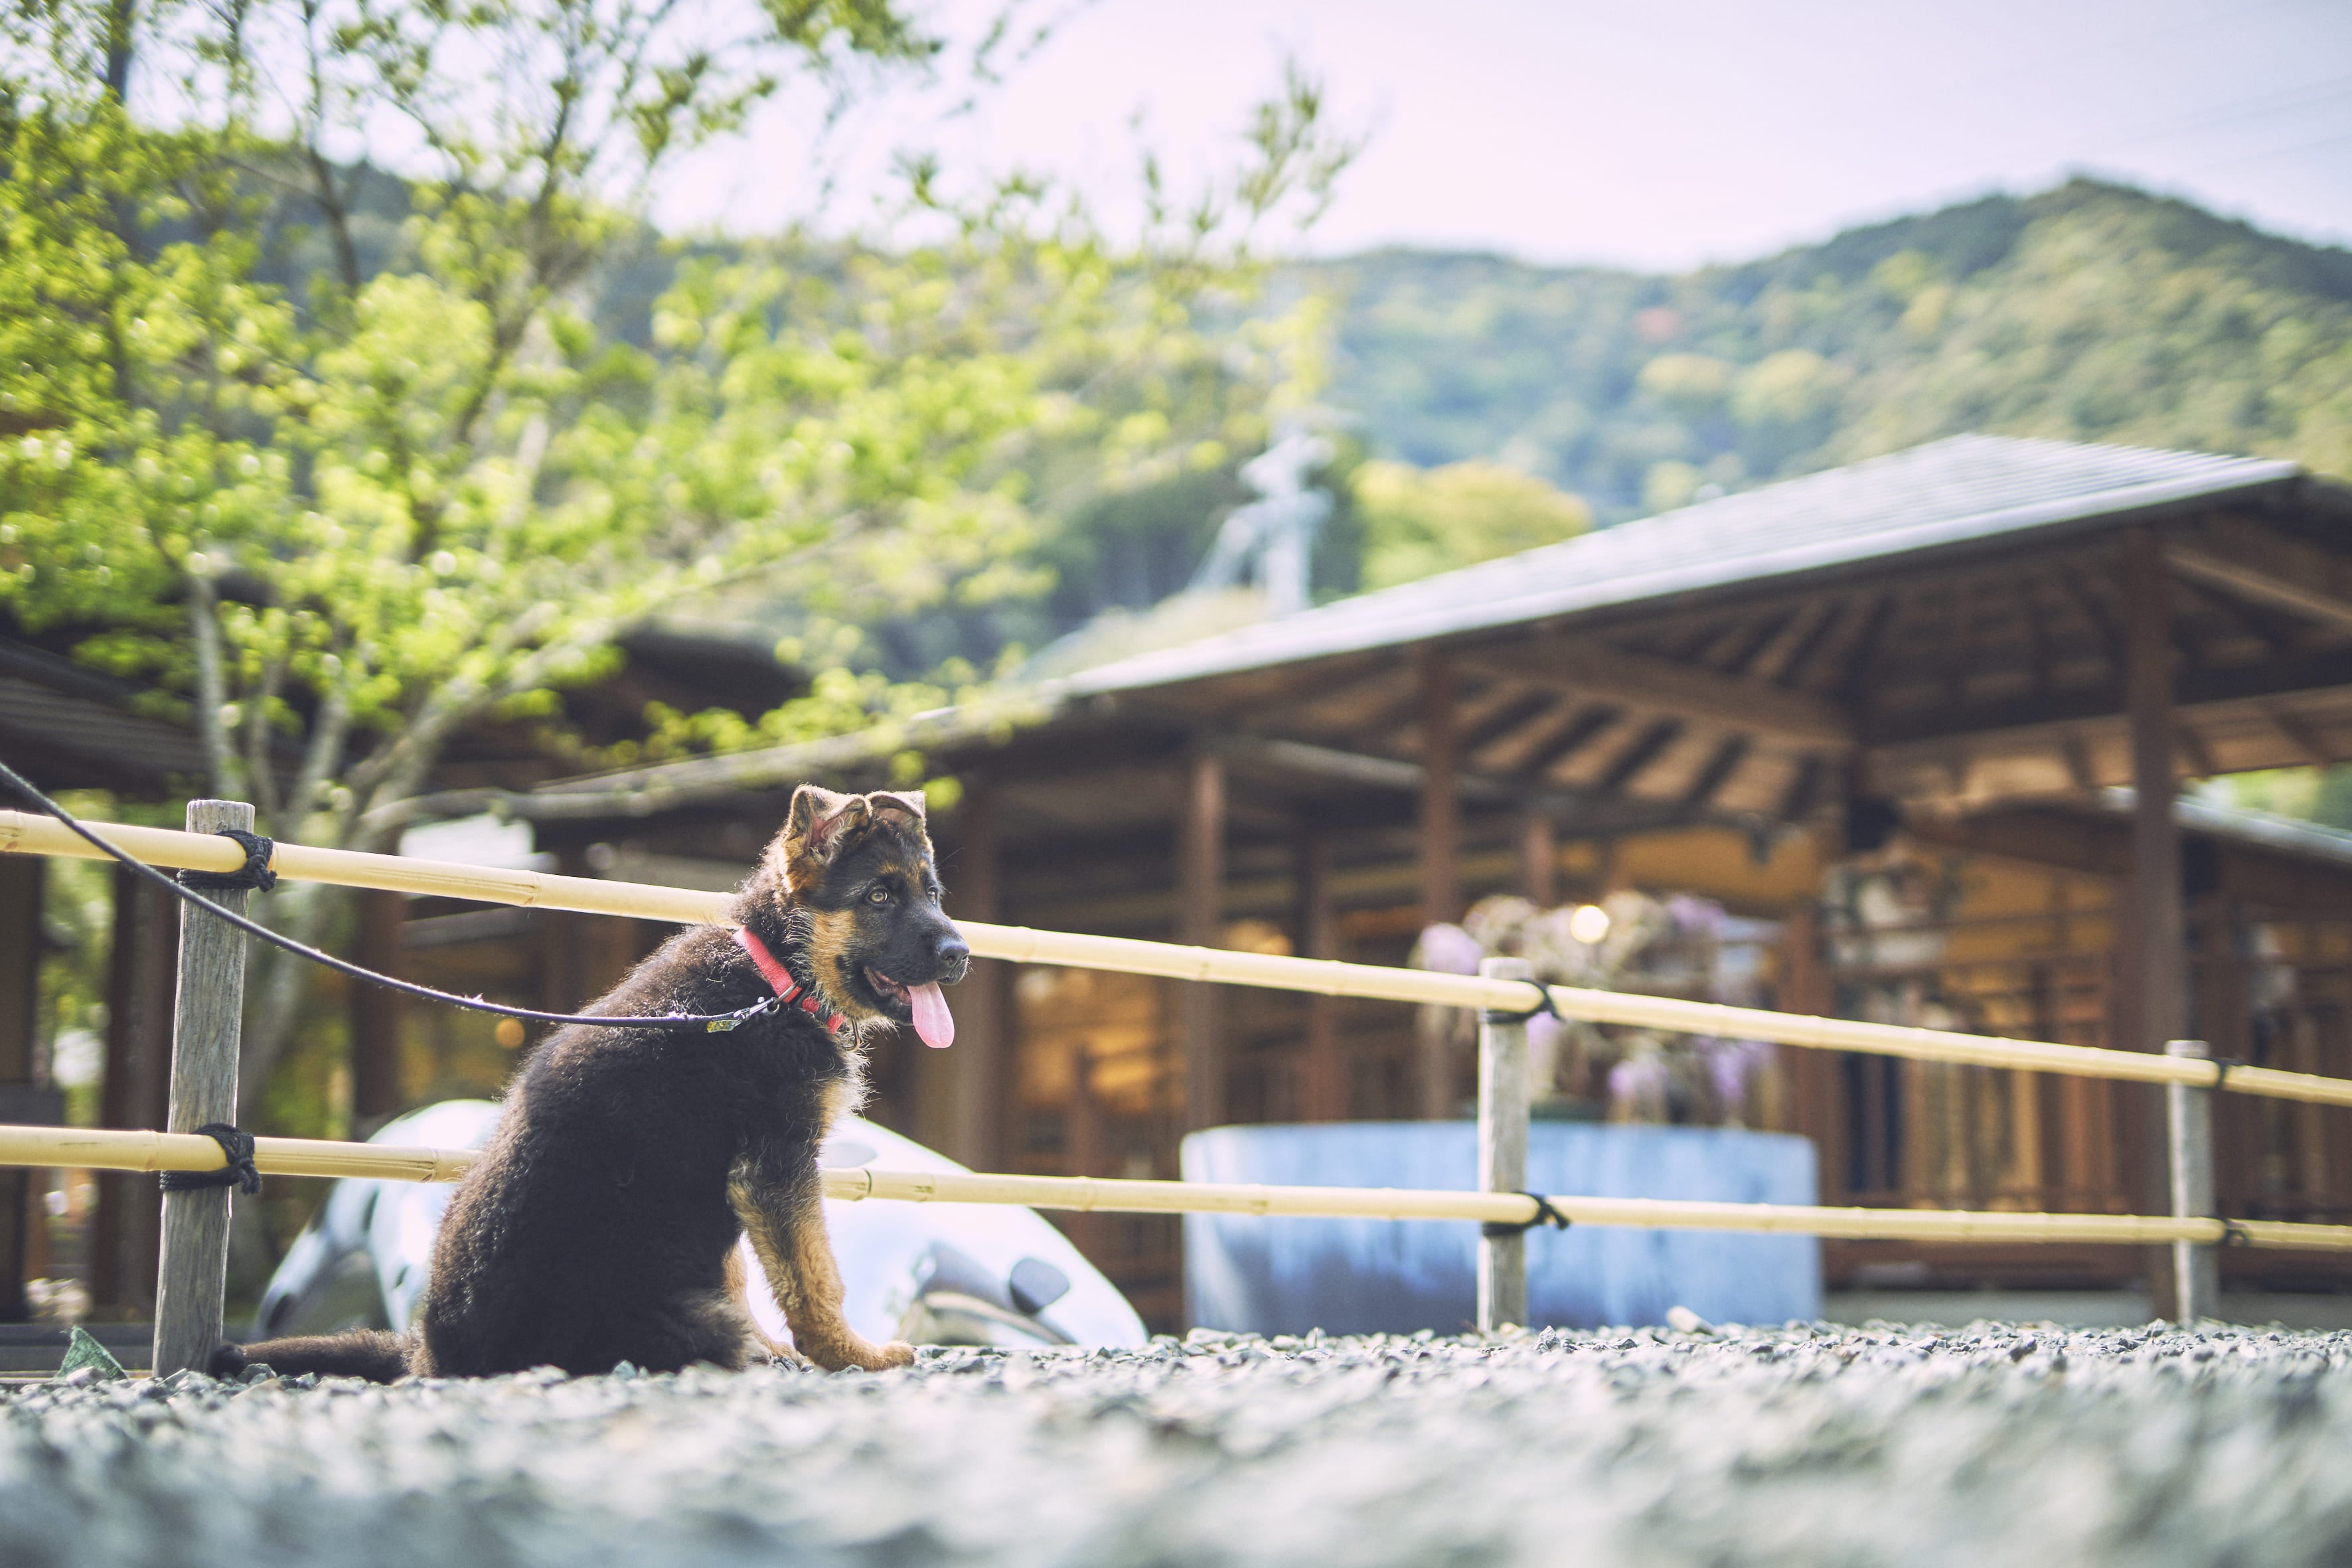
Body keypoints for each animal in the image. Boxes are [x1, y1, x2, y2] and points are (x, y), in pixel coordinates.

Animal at [209, 789, 964, 1382]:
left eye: (931, 895)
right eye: (879, 897)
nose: (961, 955)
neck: (774, 977)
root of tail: (429, 1356)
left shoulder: (740, 1185)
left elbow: (744, 1272)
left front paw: (791, 1350)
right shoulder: (776, 1167)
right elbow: (815, 1278)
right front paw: (851, 1356)